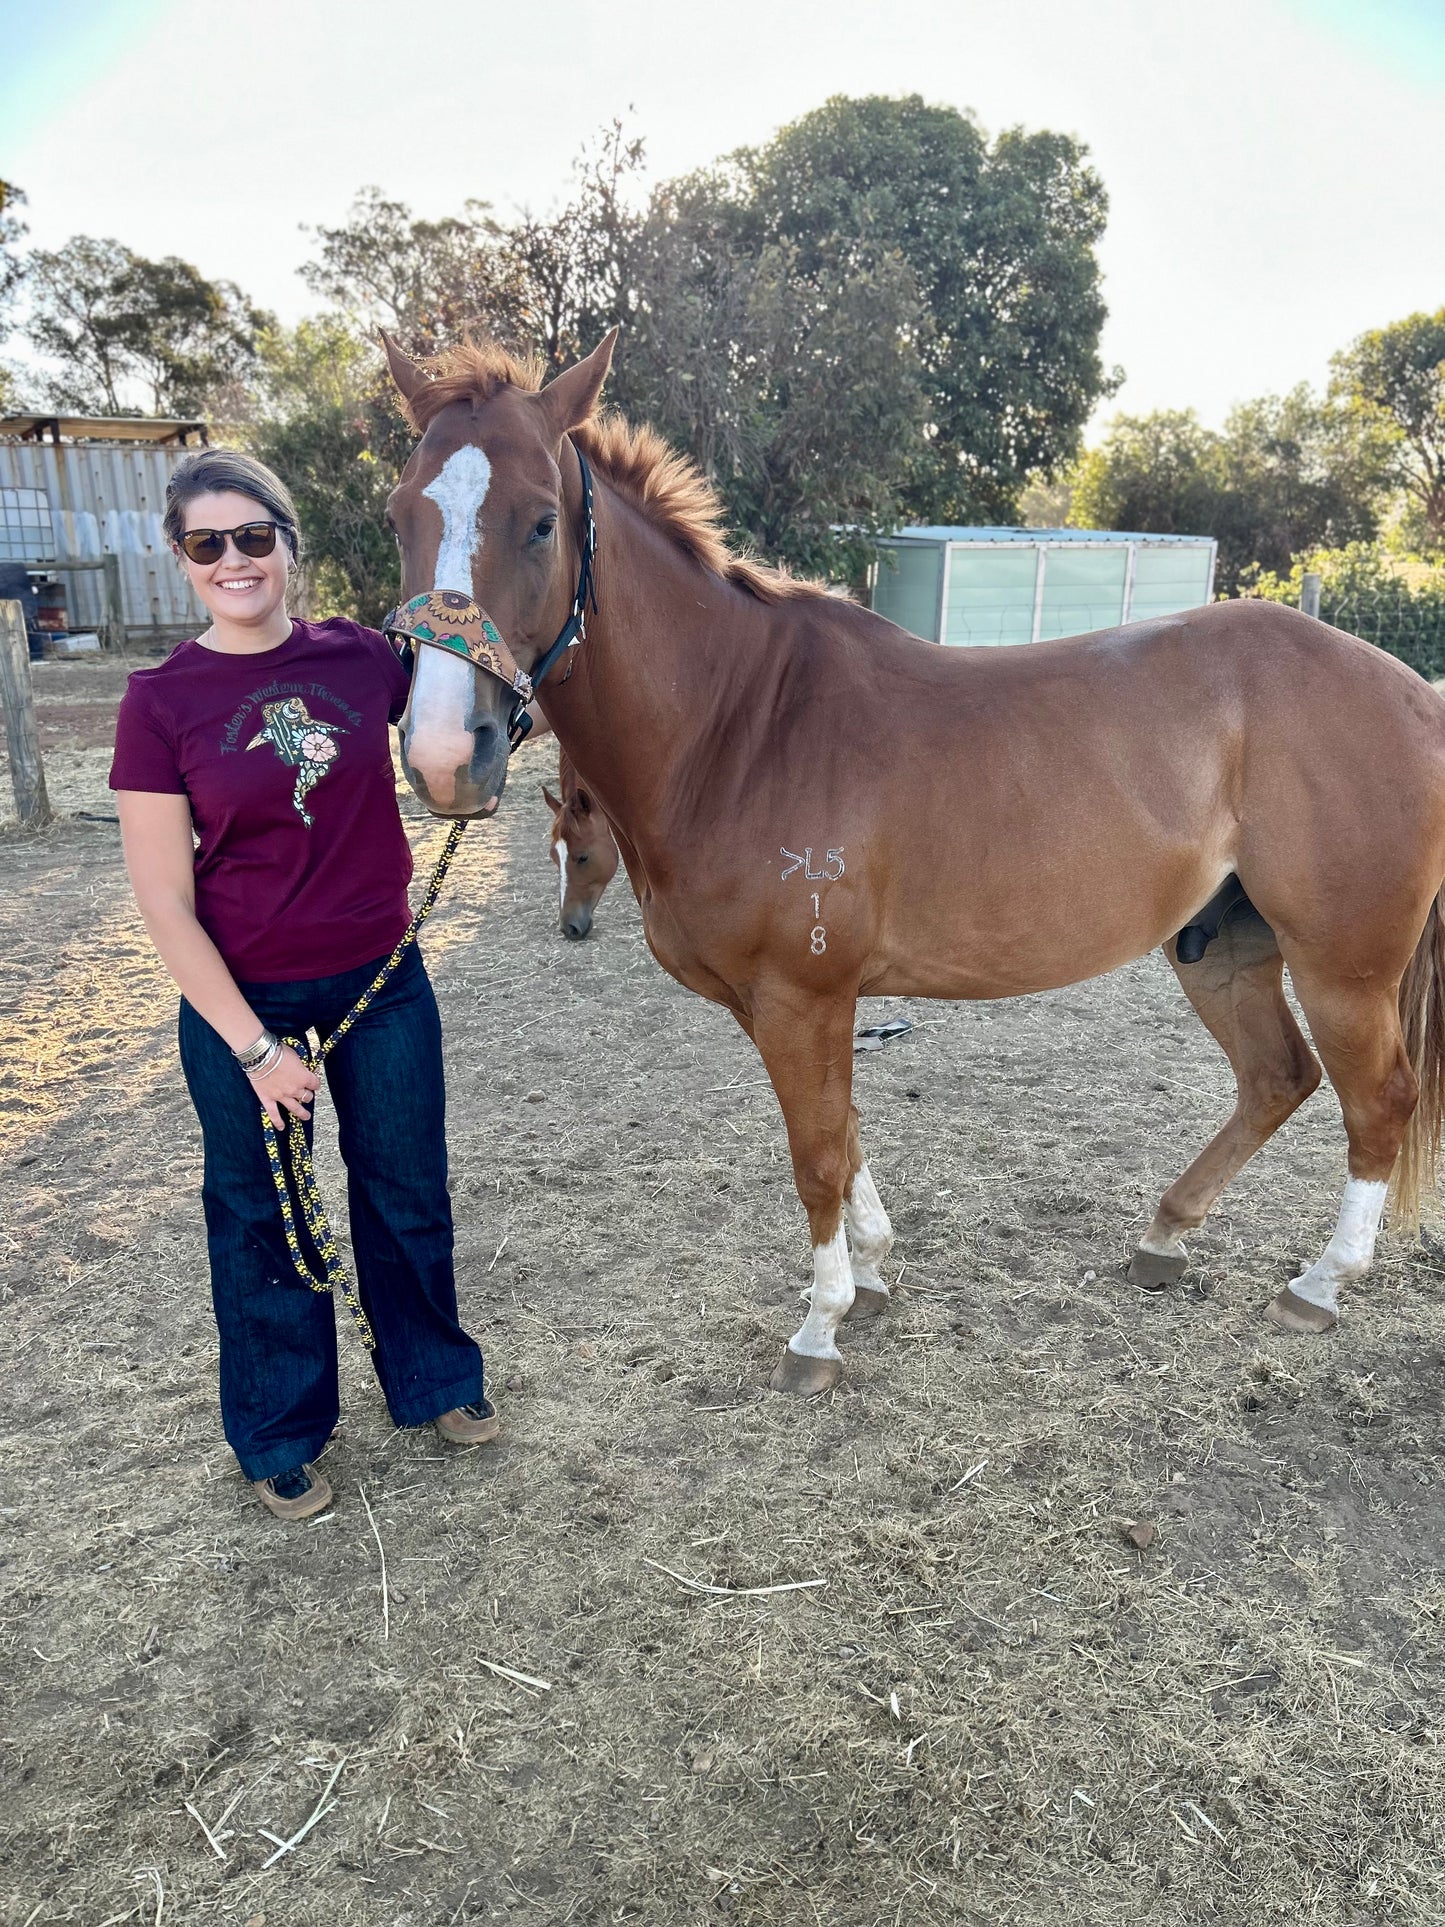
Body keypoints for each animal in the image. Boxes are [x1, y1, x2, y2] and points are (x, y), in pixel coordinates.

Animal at [381, 323, 1445, 1395]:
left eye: (540, 522)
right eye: (399, 517)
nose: (443, 756)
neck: (738, 727)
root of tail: (1408, 690)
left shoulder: (802, 997)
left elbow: (816, 1154)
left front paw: (819, 1328)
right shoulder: (787, 1005)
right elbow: (845, 1138)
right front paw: (872, 1273)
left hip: (1341, 967)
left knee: (1376, 1103)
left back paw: (1319, 1283)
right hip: (1222, 947)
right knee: (1277, 1078)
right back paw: (1164, 1237)